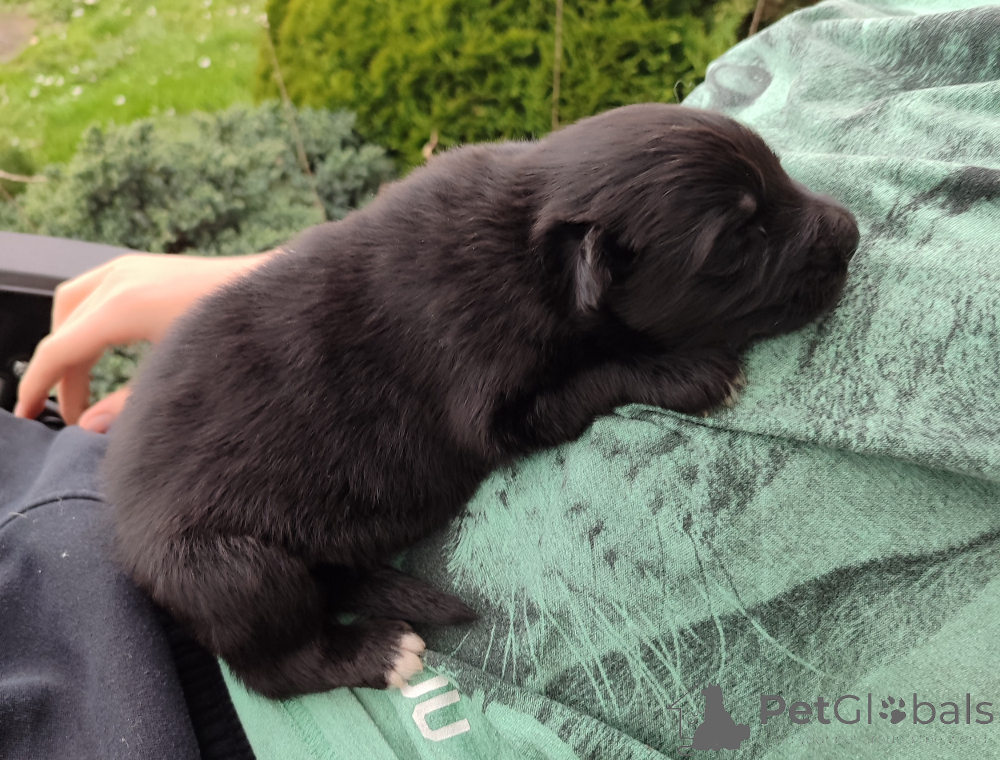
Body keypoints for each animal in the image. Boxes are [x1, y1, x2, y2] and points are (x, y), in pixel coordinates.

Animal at [103, 103, 859, 699]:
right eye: (738, 238)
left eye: (779, 170)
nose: (852, 231)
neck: (530, 246)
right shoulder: (492, 401)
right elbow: (595, 377)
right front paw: (687, 370)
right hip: (230, 571)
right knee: (275, 666)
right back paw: (379, 651)